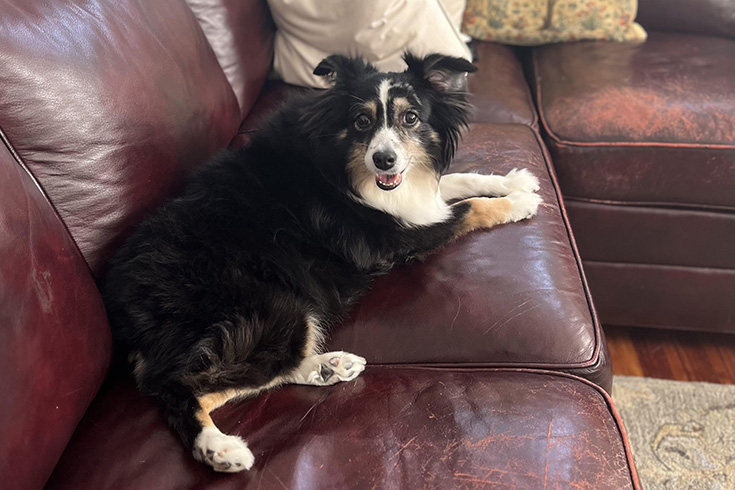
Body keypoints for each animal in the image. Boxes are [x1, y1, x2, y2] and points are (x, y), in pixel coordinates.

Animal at [102, 52, 540, 470]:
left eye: (411, 117)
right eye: (361, 121)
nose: (383, 160)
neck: (345, 163)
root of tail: (122, 309)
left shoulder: (411, 198)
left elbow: (458, 181)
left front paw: (515, 180)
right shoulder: (396, 238)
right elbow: (469, 208)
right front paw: (519, 203)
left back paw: (326, 367)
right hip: (273, 309)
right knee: (182, 387)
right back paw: (218, 448)